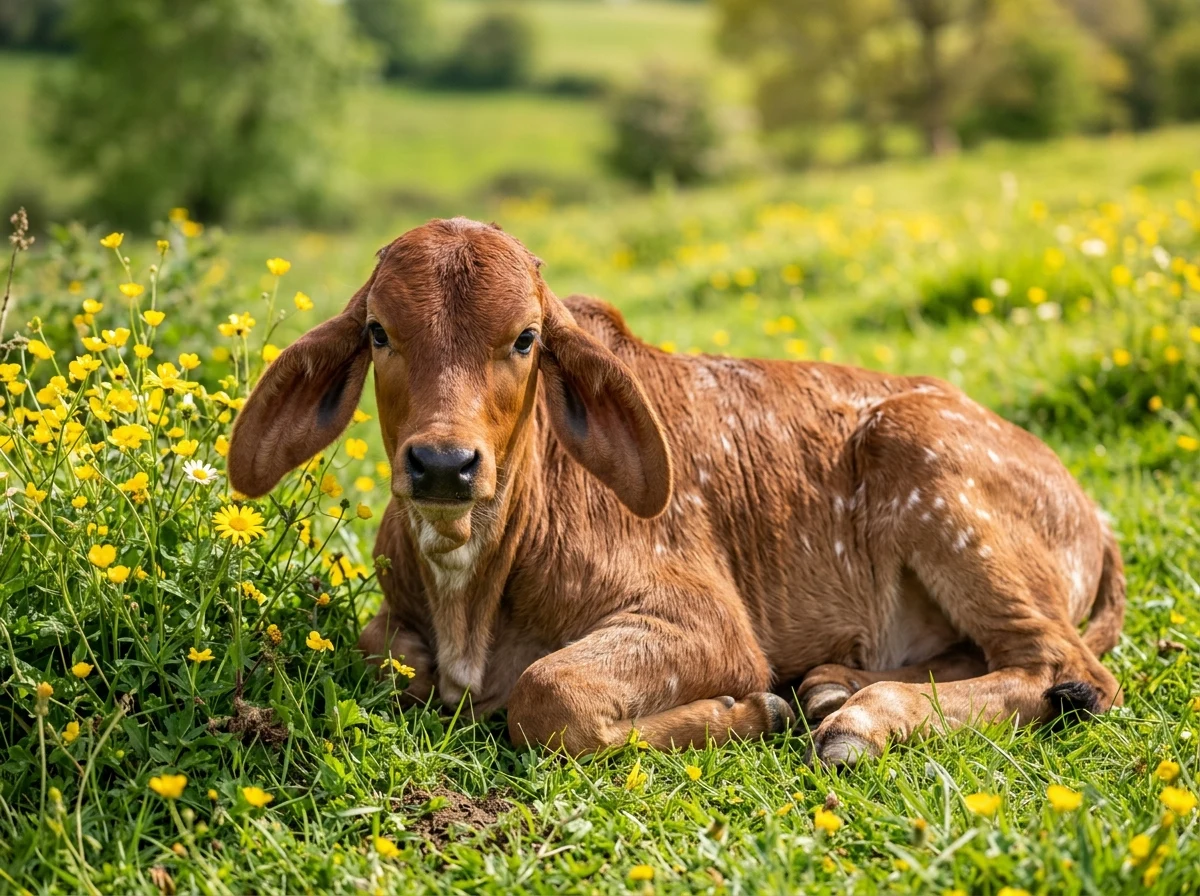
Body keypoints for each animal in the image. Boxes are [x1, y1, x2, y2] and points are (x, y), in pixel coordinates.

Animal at [228, 217, 1124, 766]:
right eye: (379, 332)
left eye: (526, 338)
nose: (444, 465)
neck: (469, 594)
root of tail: (1093, 513)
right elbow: (387, 656)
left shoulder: (707, 623)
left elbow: (546, 695)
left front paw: (754, 712)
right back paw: (836, 686)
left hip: (928, 467)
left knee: (1063, 670)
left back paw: (859, 722)